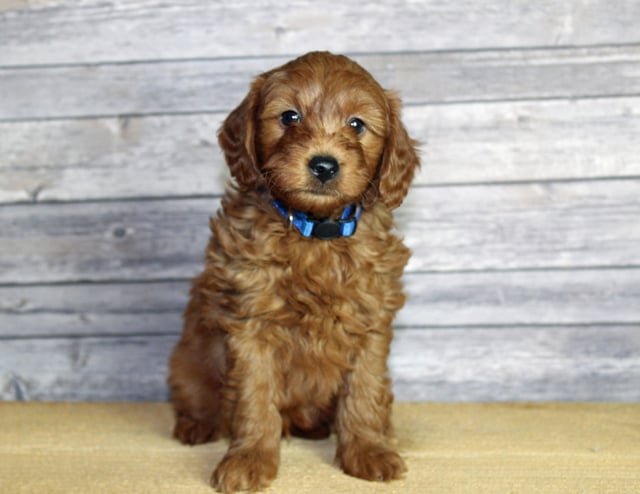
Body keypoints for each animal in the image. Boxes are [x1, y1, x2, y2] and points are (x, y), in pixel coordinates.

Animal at [170, 52, 420, 492]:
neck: (314, 234)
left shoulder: (371, 320)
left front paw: (368, 450)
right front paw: (249, 459)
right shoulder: (249, 323)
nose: (323, 165)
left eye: (357, 124)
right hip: (188, 362)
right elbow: (254, 396)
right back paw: (196, 426)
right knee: (197, 398)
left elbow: (365, 390)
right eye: (289, 117)